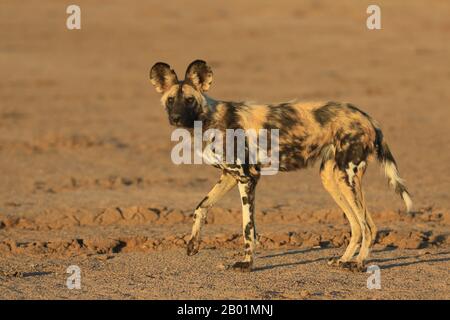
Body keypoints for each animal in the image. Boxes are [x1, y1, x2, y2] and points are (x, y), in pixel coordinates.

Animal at [149, 59, 414, 272]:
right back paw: (343, 260)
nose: (175, 118)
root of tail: (367, 117)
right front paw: (193, 244)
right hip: (332, 178)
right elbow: (201, 207)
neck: (208, 120)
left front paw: (246, 264)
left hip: (347, 177)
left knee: (368, 226)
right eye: (170, 101)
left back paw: (358, 264)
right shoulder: (229, 176)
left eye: (189, 100)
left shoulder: (247, 178)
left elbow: (248, 228)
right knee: (359, 226)